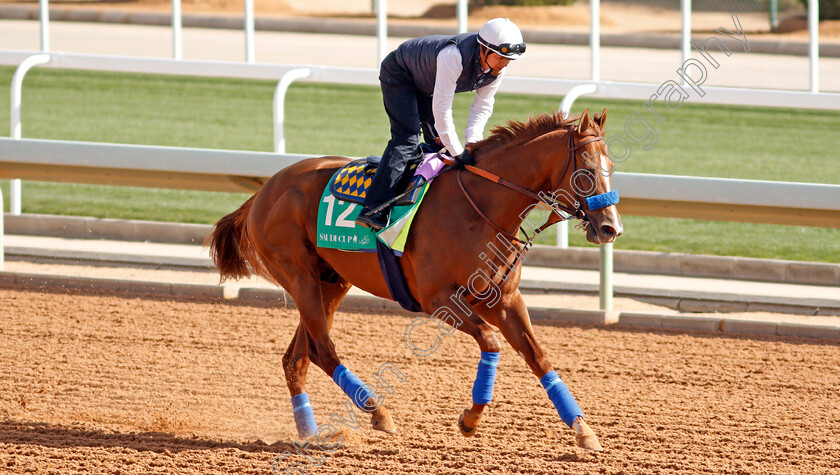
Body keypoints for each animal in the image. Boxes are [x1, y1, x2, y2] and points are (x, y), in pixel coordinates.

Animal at [207, 109, 620, 452]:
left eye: (611, 166)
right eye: (587, 171)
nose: (610, 228)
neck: (482, 208)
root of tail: (264, 190)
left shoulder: (505, 299)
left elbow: (538, 356)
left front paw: (583, 430)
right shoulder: (438, 300)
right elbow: (490, 342)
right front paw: (470, 419)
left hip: (332, 282)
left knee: (297, 358)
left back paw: (309, 434)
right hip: (300, 277)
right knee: (322, 350)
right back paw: (377, 413)